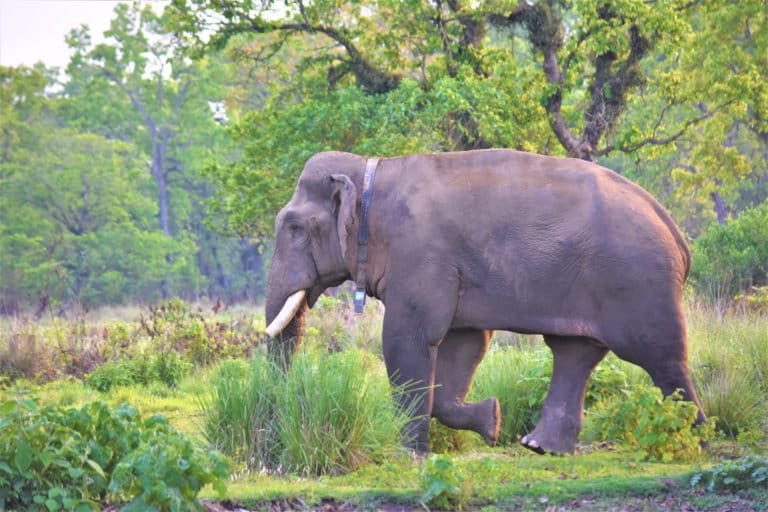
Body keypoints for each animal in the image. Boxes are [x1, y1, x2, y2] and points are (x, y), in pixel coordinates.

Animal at [266, 149, 708, 456]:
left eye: (295, 228)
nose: (281, 411)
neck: (372, 170)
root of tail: (674, 229)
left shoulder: (421, 256)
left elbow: (408, 338)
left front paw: (407, 454)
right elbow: (465, 343)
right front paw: (492, 420)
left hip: (636, 283)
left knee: (659, 355)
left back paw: (694, 440)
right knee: (574, 352)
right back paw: (540, 448)